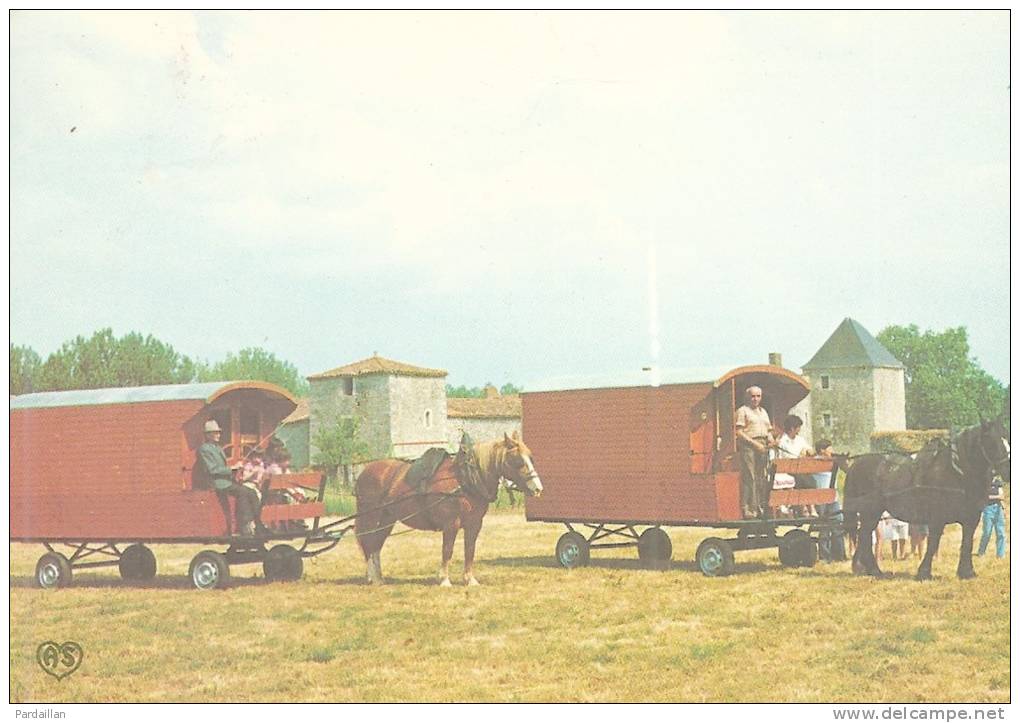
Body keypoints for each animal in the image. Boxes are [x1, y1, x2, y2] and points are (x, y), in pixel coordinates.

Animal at [354, 432, 542, 583]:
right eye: (517, 461)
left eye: (531, 458)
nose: (538, 489)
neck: (464, 480)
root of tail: (364, 471)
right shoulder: (451, 523)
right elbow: (447, 550)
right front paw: (444, 579)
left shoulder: (474, 524)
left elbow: (469, 550)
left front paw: (469, 579)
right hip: (371, 518)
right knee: (369, 542)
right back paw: (372, 577)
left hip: (387, 519)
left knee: (376, 545)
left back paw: (378, 578)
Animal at [840, 418, 1007, 579]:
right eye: (991, 440)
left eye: (1006, 437)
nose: (1007, 469)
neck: (956, 473)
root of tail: (856, 464)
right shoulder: (937, 517)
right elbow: (933, 543)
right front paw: (924, 572)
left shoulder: (971, 518)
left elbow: (967, 543)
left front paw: (967, 572)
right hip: (870, 510)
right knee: (864, 535)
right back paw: (874, 570)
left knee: (864, 535)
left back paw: (866, 568)